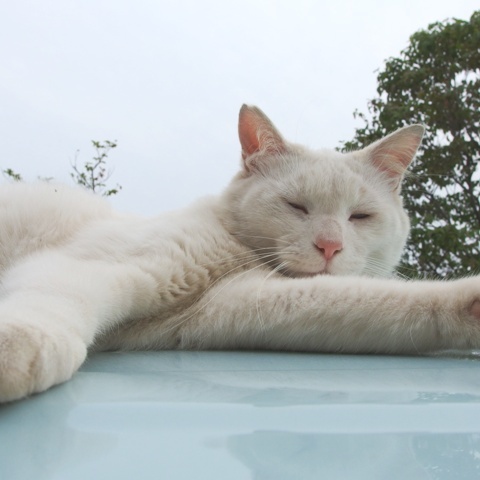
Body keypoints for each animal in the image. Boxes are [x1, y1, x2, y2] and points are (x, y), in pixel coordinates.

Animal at [0, 107, 480, 404]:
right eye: (296, 206)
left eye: (360, 216)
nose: (330, 246)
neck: (234, 251)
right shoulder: (88, 265)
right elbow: (47, 309)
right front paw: (15, 353)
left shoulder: (240, 306)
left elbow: (396, 306)